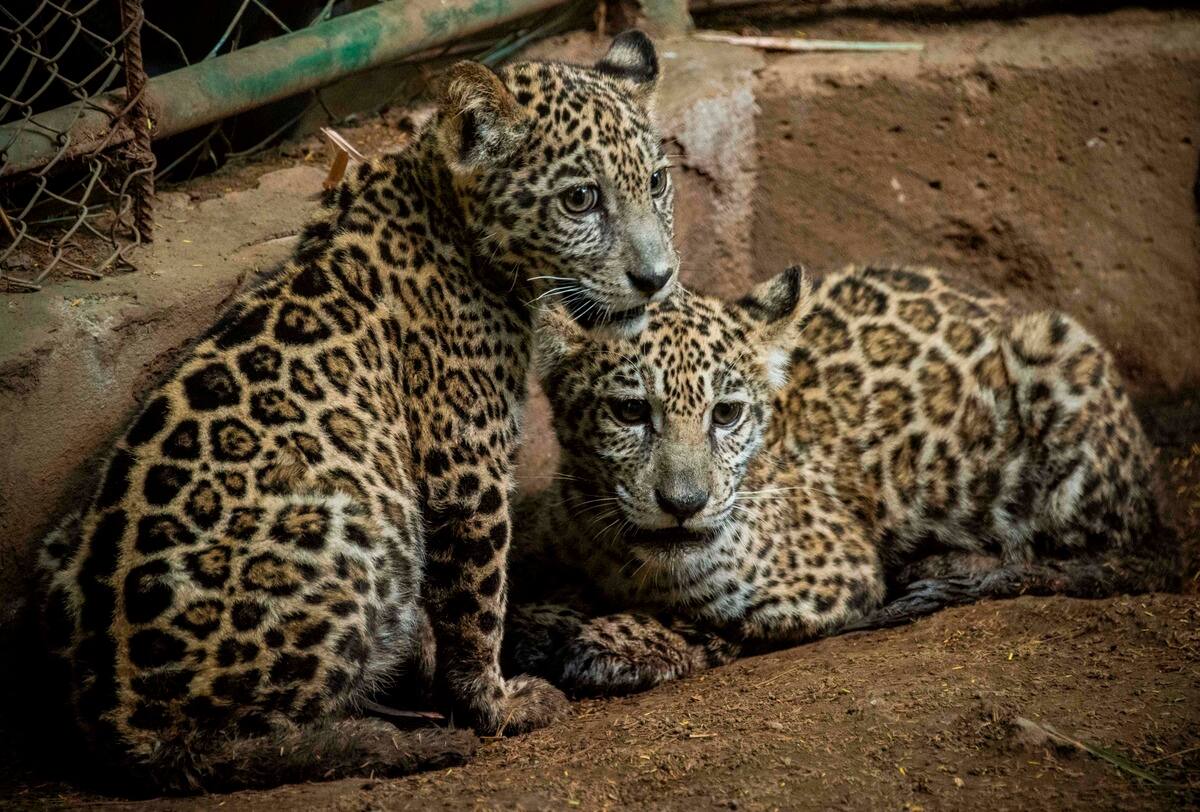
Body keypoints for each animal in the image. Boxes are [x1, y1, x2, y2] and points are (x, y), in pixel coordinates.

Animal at [33, 31, 680, 793]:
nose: (657, 277)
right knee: (239, 743)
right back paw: (401, 740)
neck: (442, 204)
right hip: (353, 516)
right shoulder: (466, 469)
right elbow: (477, 603)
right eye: (581, 200)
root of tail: (123, 720)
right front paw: (496, 706)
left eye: (658, 183)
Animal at [504, 264, 1179, 697]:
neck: (621, 556)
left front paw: (612, 642)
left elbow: (716, 617)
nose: (683, 503)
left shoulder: (836, 576)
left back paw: (952, 564)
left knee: (1097, 553)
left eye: (726, 414)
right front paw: (548, 617)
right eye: (629, 412)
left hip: (1058, 354)